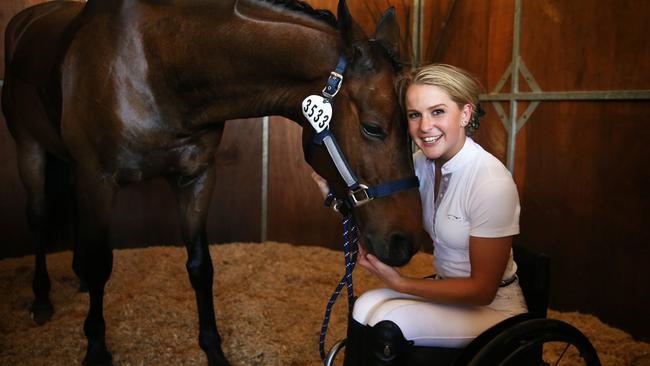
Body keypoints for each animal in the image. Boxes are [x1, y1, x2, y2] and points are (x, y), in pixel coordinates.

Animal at [1, 1, 420, 364]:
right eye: (372, 127)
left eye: (412, 124)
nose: (406, 242)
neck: (156, 66)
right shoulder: (98, 180)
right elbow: (102, 263)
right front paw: (96, 349)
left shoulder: (197, 177)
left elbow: (201, 266)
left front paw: (213, 348)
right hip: (30, 151)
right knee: (39, 218)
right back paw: (42, 299)